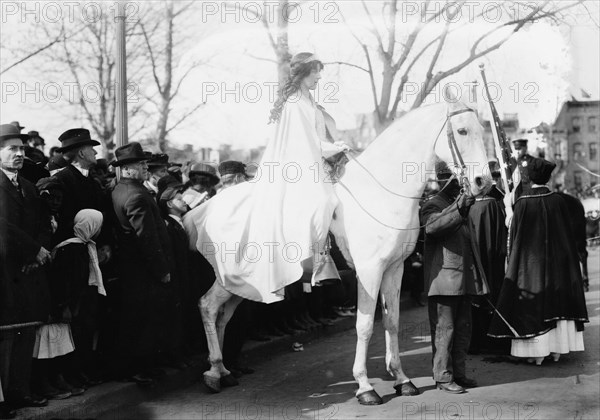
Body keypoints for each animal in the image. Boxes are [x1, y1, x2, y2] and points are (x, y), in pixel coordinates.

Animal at [183, 97, 492, 406]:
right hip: (232, 278)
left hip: (244, 284)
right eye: (462, 131)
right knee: (207, 306)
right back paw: (214, 373)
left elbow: (391, 321)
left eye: (482, 129)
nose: (483, 182)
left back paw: (222, 370)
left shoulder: (395, 268)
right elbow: (365, 326)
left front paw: (402, 380)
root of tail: (204, 210)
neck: (380, 193)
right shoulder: (369, 272)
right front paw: (365, 387)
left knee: (223, 315)